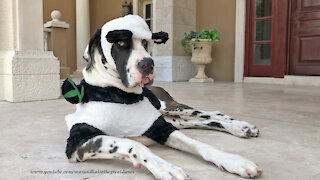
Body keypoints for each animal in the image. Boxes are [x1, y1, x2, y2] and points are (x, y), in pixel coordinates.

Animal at [62, 14, 262, 179]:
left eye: (145, 42)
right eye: (120, 43)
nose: (148, 64)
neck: (120, 94)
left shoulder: (161, 128)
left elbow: (199, 144)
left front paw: (234, 161)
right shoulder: (78, 143)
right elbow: (133, 144)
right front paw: (167, 168)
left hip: (167, 106)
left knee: (210, 114)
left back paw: (239, 126)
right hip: (171, 116)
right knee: (199, 120)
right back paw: (240, 128)